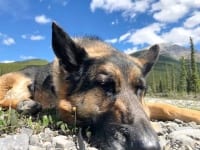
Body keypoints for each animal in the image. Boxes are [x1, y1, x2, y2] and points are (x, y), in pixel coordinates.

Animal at [0, 22, 200, 150]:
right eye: (104, 85)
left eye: (140, 89)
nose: (150, 146)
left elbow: (167, 107)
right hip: (23, 81)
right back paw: (27, 105)